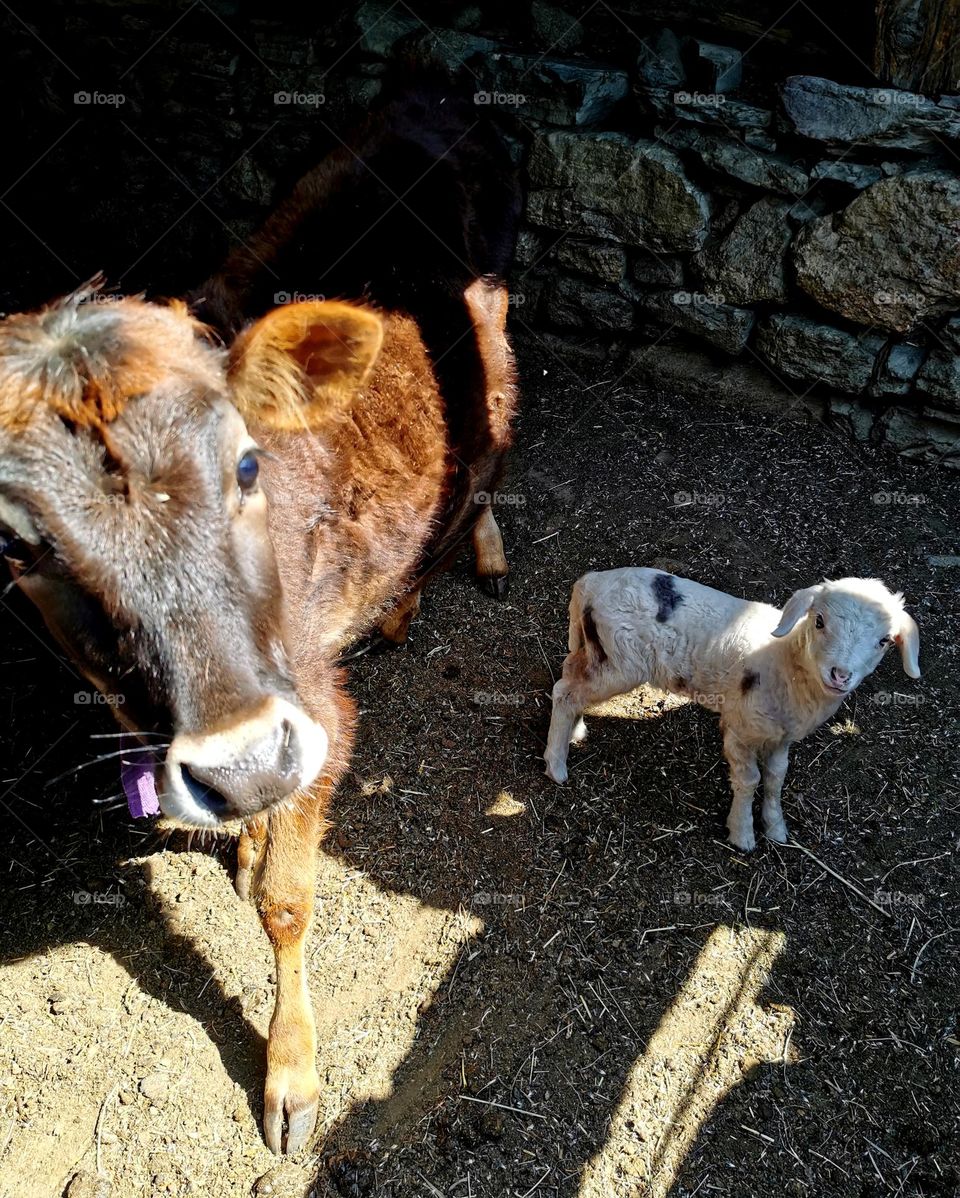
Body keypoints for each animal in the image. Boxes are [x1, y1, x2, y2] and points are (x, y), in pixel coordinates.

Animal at [0, 81, 519, 1153]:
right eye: (18, 544)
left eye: (247, 462)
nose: (243, 762)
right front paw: (241, 839)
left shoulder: (318, 706)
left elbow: (287, 901)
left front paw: (291, 1076)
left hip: (493, 327)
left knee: (494, 439)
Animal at [543, 571, 921, 851]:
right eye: (819, 621)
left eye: (884, 640)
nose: (840, 675)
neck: (785, 660)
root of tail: (589, 584)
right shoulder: (740, 726)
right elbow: (750, 779)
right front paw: (742, 834)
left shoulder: (780, 734)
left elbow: (776, 776)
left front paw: (776, 828)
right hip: (621, 659)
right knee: (565, 692)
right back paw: (556, 765)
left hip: (597, 650)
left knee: (570, 675)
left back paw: (574, 732)